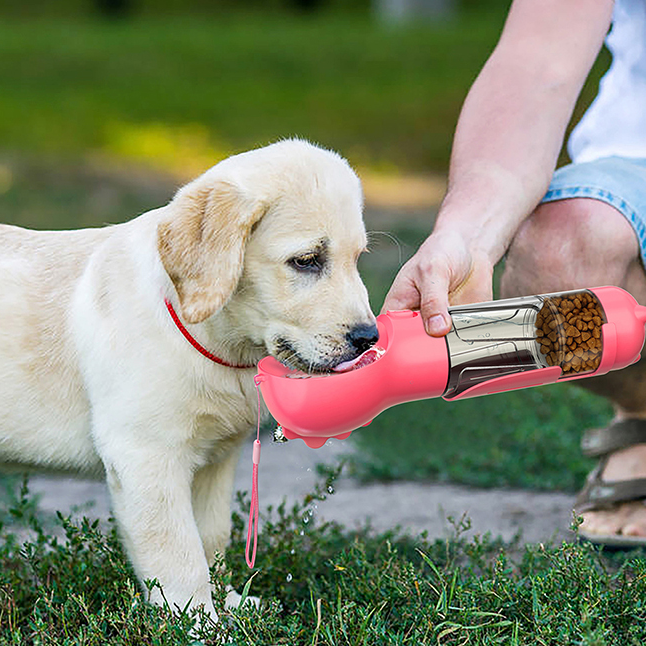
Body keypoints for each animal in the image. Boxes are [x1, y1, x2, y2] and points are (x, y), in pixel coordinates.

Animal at [0, 140, 378, 624]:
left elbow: (211, 538)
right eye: (307, 261)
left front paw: (229, 604)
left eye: (357, 259)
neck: (218, 344)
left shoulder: (215, 461)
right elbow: (178, 554)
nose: (369, 338)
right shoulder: (146, 456)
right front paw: (197, 622)